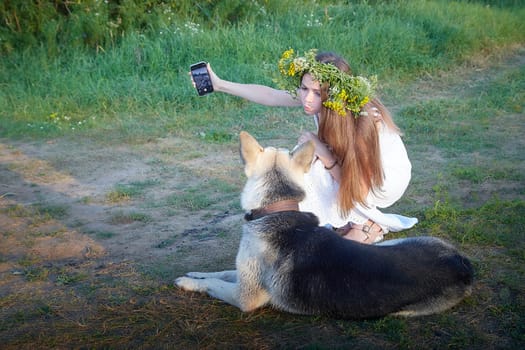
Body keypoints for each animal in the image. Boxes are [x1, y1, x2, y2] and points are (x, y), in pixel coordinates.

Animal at [174, 131, 472, 320]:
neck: (277, 206)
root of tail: (463, 264)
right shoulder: (243, 274)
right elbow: (222, 272)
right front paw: (197, 273)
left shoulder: (244, 297)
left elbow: (215, 284)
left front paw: (189, 282)